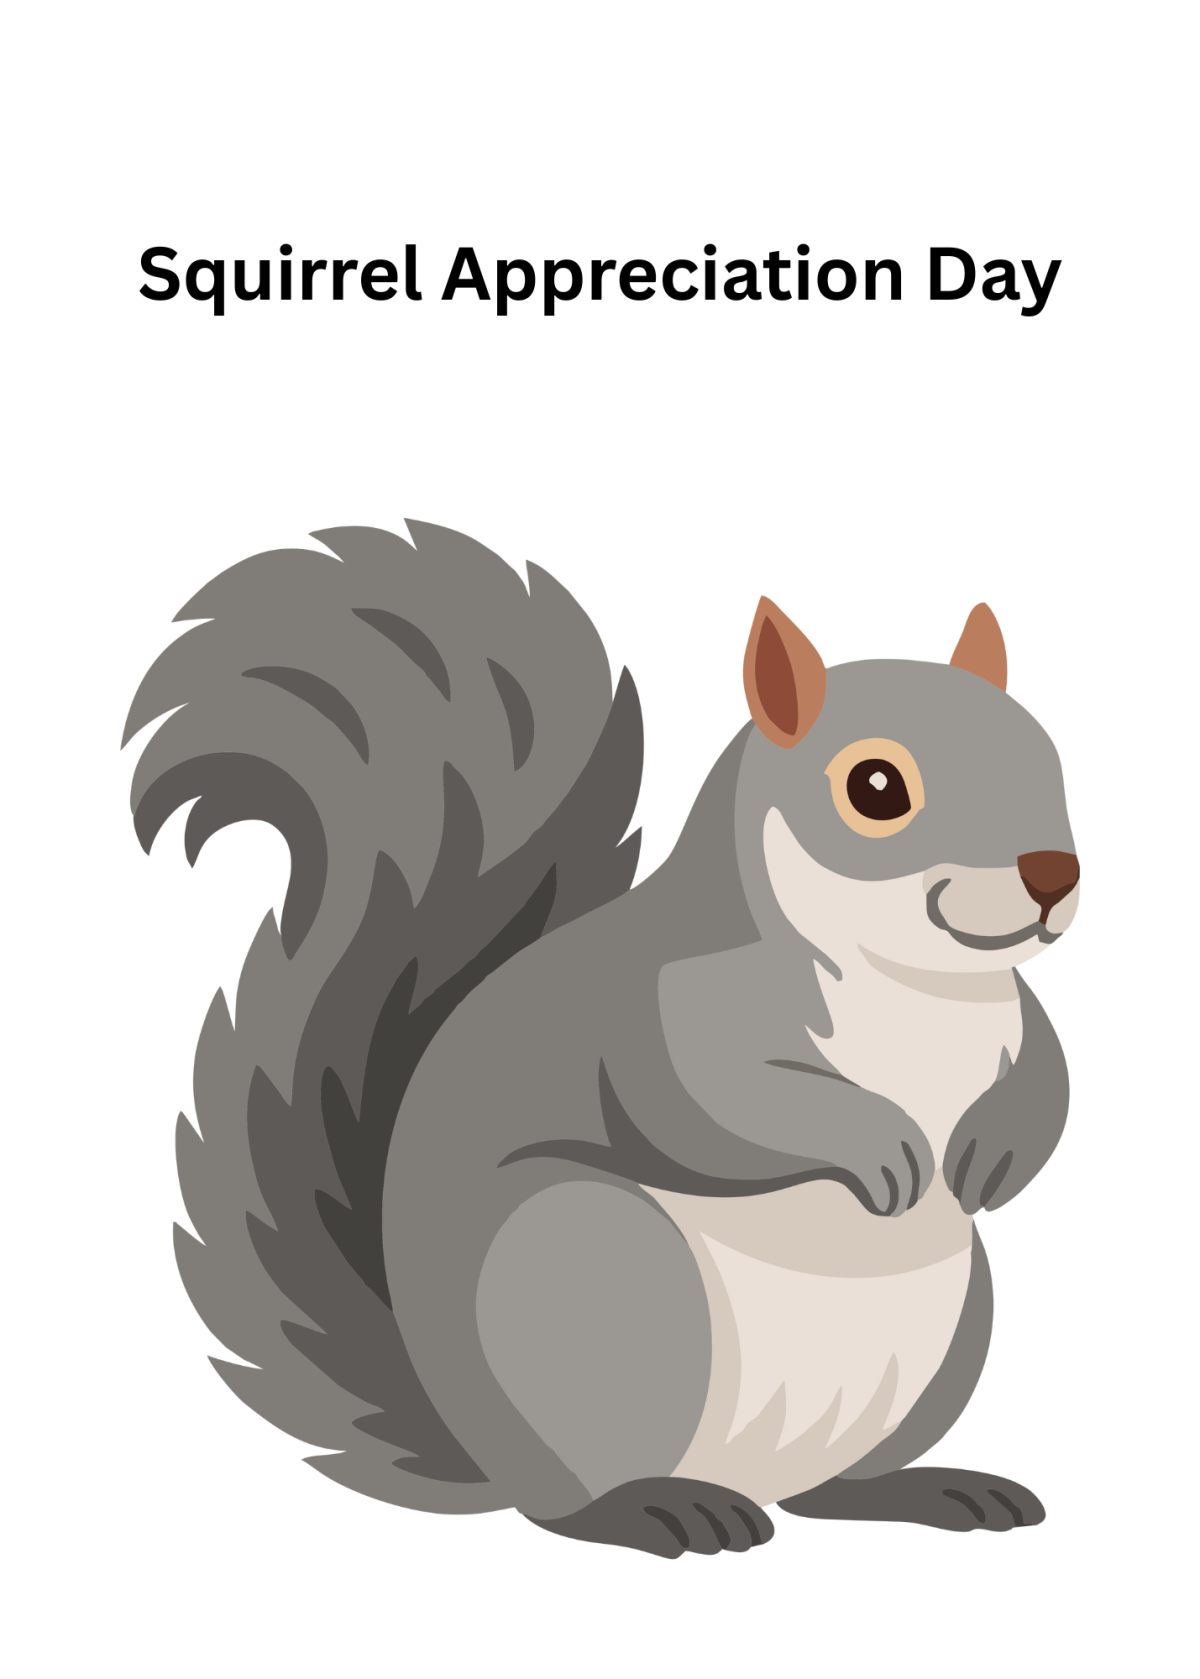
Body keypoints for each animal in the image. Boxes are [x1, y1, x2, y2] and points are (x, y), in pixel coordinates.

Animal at [125, 520, 1078, 1558]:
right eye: (875, 786)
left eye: (1047, 755)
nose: (1054, 876)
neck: (913, 986)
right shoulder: (670, 1005)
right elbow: (714, 1104)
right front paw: (882, 1146)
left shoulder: (1019, 1016)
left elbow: (1050, 1078)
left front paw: (994, 1151)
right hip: (597, 1261)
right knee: (569, 1503)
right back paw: (660, 1506)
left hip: (954, 1329)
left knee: (832, 1491)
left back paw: (925, 1486)